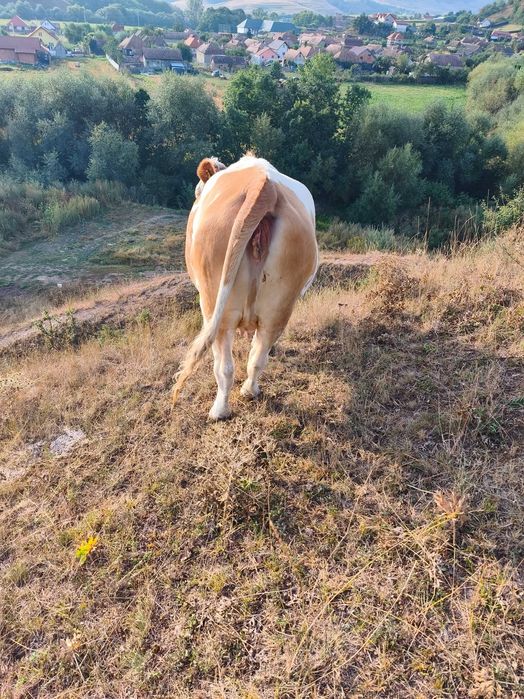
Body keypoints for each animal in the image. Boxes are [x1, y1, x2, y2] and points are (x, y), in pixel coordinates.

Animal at [172, 154, 318, 420]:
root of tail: (264, 186)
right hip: (279, 305)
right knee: (259, 355)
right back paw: (250, 390)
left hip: (215, 305)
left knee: (224, 366)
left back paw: (219, 410)